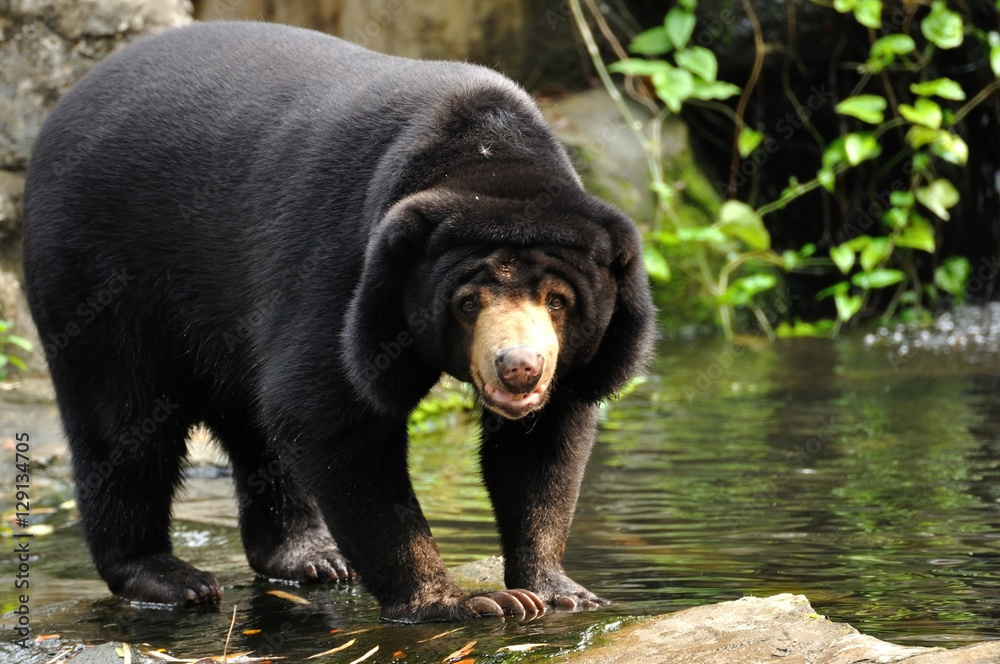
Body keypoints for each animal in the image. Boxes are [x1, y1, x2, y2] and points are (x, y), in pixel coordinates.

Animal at [22, 21, 655, 623]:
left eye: (557, 300)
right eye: (468, 302)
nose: (519, 368)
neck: (480, 156)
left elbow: (542, 445)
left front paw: (557, 590)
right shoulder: (343, 264)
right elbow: (332, 414)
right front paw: (459, 601)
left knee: (255, 424)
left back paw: (309, 556)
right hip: (96, 268)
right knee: (124, 420)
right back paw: (167, 578)